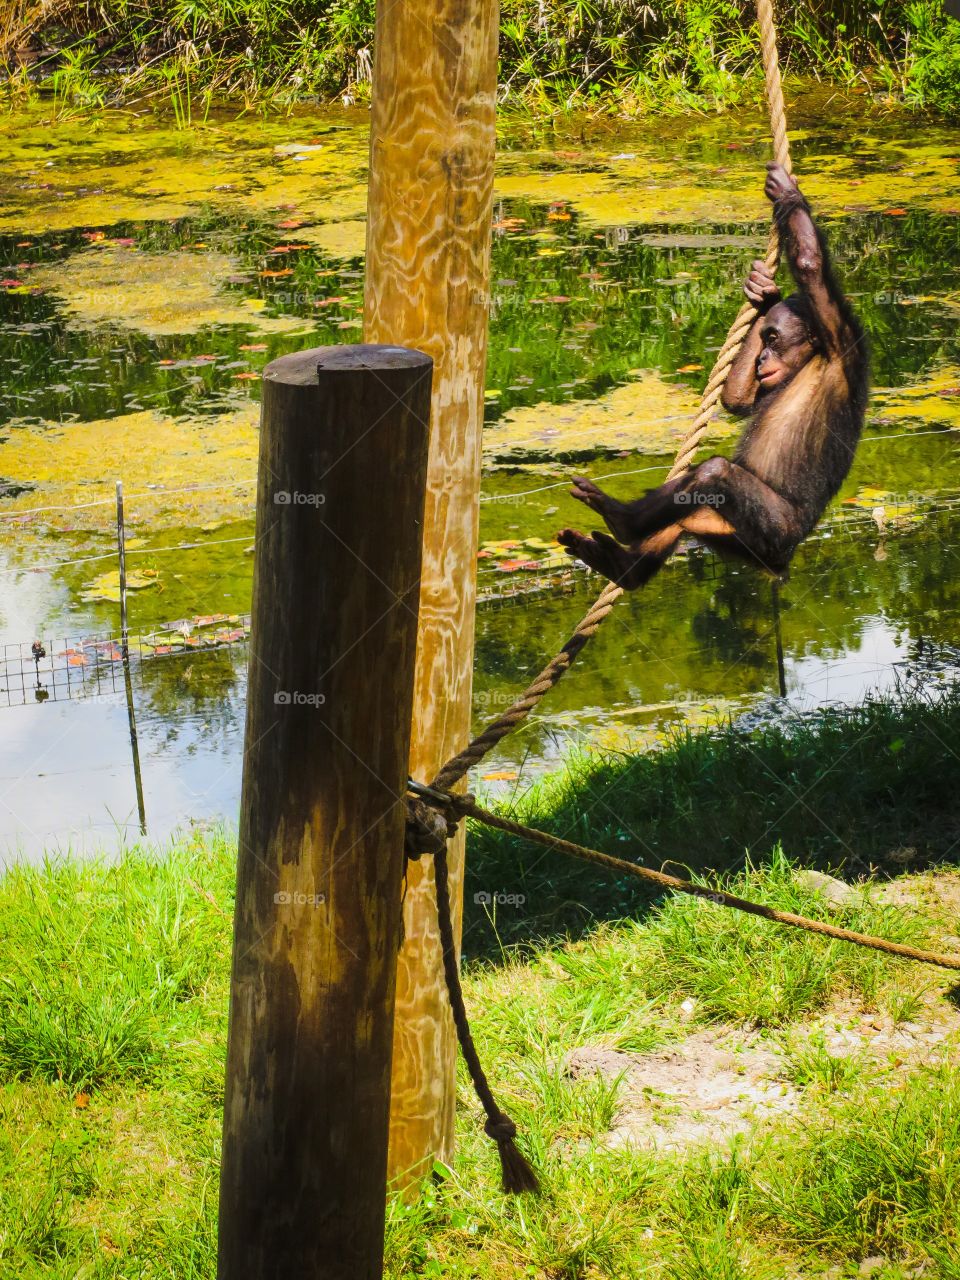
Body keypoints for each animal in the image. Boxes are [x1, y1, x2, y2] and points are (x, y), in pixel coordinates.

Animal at [556, 162, 869, 588]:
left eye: (775, 338)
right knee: (682, 515)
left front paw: (789, 194)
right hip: (727, 533)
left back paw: (621, 520)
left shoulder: (841, 337)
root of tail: (783, 559)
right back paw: (622, 564)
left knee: (713, 473)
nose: (762, 357)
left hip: (772, 529)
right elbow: (737, 398)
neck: (810, 361)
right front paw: (763, 292)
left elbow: (810, 266)